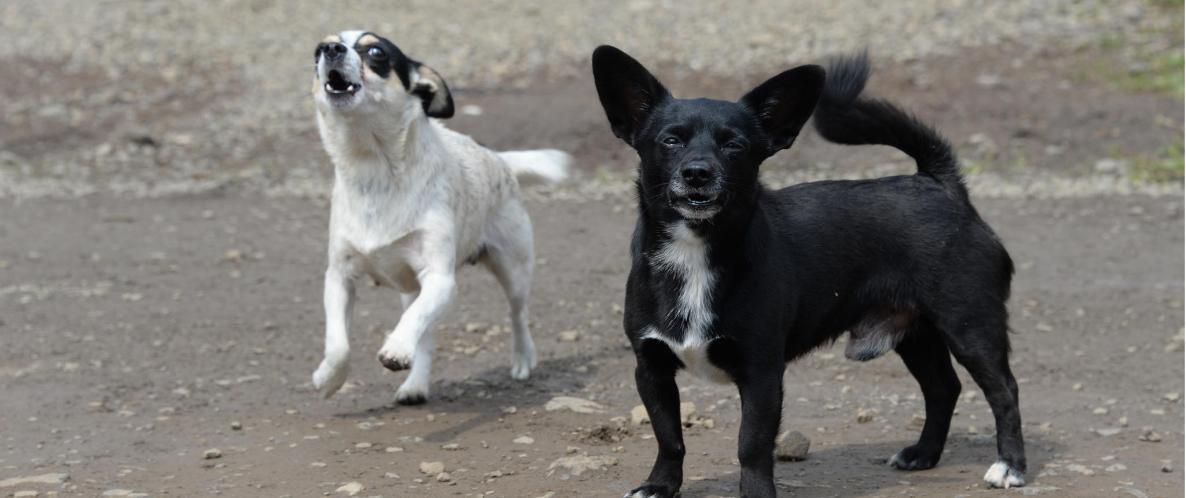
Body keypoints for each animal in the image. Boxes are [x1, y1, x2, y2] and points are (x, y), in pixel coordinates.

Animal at [310, 30, 569, 405]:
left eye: (376, 52)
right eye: (318, 49)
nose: (330, 49)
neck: (373, 165)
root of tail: (496, 156)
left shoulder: (440, 279)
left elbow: (413, 319)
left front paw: (396, 347)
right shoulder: (339, 278)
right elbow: (338, 344)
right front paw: (329, 378)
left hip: (513, 268)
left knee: (517, 313)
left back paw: (522, 359)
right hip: (412, 288)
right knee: (425, 338)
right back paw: (415, 385)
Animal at [597, 46, 1024, 497]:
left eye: (734, 145)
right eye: (670, 141)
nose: (698, 172)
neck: (695, 248)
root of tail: (940, 185)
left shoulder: (762, 375)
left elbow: (752, 444)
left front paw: (755, 494)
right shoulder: (651, 370)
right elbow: (668, 436)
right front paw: (660, 485)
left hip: (970, 327)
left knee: (1004, 391)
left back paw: (1010, 467)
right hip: (916, 334)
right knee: (943, 388)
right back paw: (923, 454)